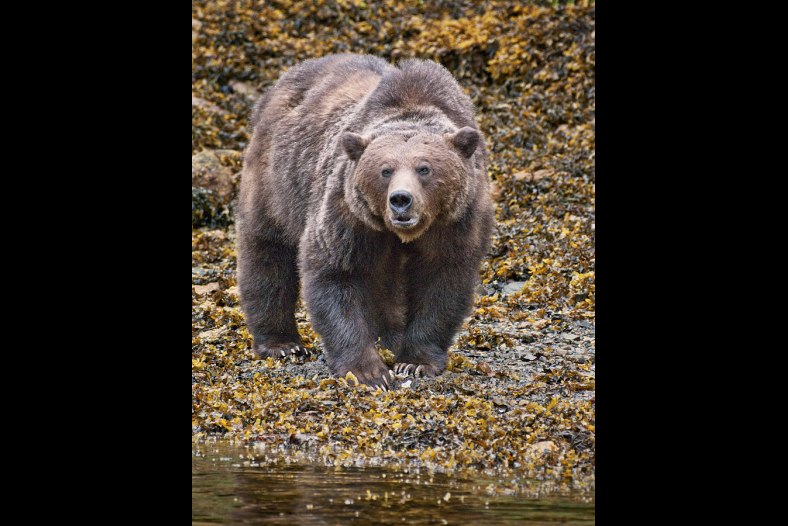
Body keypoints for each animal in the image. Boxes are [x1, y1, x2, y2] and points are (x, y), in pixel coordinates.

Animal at [236, 54, 494, 389]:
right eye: (385, 170)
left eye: (424, 168)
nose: (401, 199)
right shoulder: (348, 213)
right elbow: (335, 272)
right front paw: (369, 372)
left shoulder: (456, 222)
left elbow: (443, 281)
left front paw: (415, 362)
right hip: (277, 180)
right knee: (267, 250)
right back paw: (282, 343)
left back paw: (391, 337)